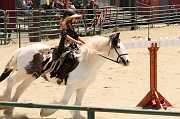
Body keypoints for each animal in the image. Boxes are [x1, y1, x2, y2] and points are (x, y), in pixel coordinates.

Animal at [0, 32, 130, 118]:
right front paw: (45, 112)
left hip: (32, 75)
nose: (127, 61)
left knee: (20, 88)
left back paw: (9, 110)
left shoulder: (83, 87)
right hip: (24, 72)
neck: (86, 62)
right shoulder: (71, 86)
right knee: (11, 81)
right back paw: (5, 104)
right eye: (118, 47)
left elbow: (78, 105)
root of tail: (23, 49)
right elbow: (63, 102)